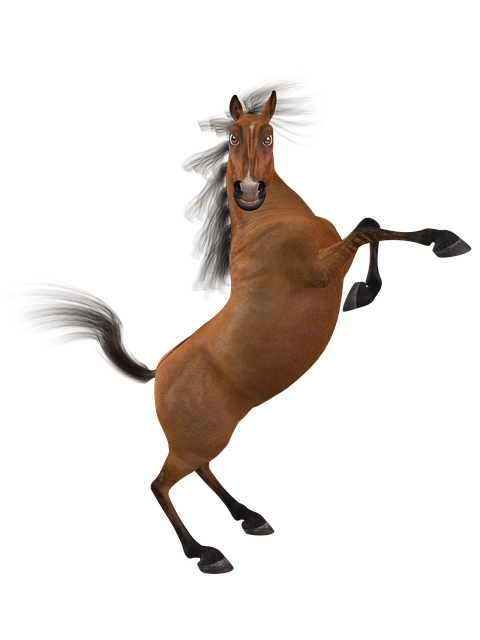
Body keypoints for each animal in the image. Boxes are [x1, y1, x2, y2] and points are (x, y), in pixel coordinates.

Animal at [5, 82, 472, 575]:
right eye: (230, 138)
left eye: (269, 135)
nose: (249, 191)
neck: (268, 221)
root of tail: (158, 373)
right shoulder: (319, 272)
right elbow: (367, 229)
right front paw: (424, 254)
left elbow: (373, 229)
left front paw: (378, 282)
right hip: (197, 438)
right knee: (161, 484)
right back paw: (205, 554)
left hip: (203, 434)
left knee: (199, 469)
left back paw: (250, 518)